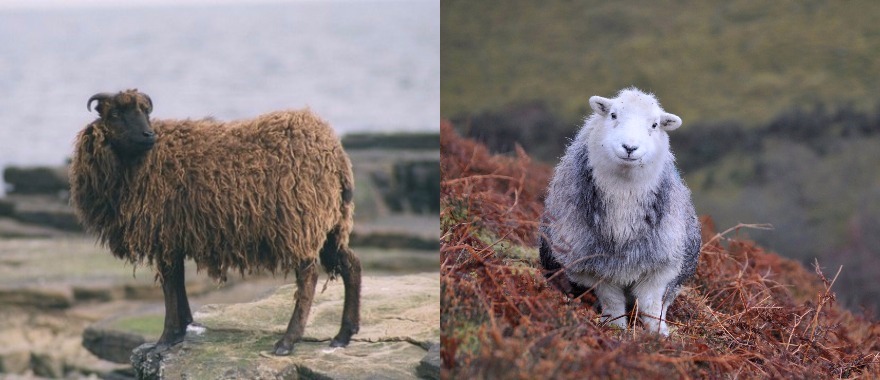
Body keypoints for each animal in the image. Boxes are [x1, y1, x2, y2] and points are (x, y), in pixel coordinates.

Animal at [67, 90, 360, 356]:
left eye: (145, 112)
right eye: (115, 114)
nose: (148, 135)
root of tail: (334, 151)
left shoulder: (165, 232)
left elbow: (170, 286)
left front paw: (165, 340)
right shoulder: (174, 236)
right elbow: (176, 283)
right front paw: (182, 329)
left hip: (300, 221)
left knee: (308, 277)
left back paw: (288, 342)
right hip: (330, 223)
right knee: (350, 264)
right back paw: (343, 335)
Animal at [540, 87, 696, 336]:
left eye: (655, 125)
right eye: (613, 115)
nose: (630, 148)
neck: (624, 200)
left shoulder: (659, 264)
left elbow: (652, 304)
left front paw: (658, 334)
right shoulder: (594, 267)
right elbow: (612, 300)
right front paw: (615, 327)